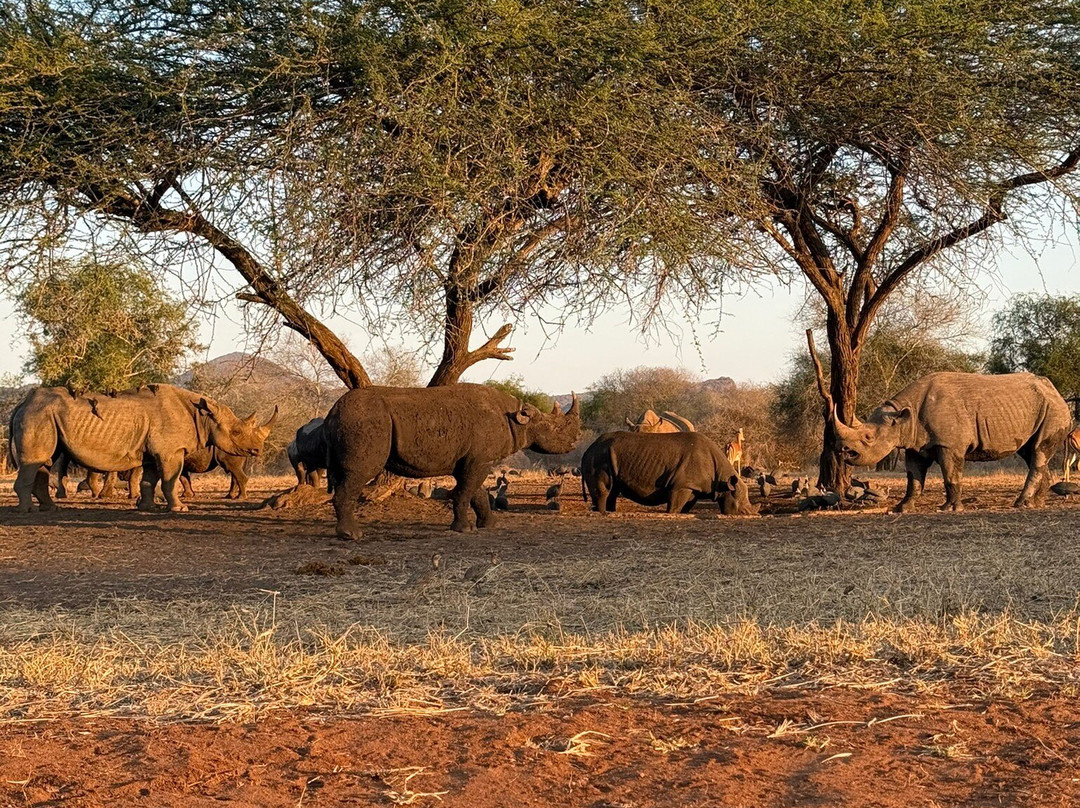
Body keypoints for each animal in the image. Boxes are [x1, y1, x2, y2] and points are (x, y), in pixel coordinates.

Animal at [9, 384, 266, 513]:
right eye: (237, 432)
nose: (257, 450)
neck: (202, 416)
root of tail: (22, 403)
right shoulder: (171, 451)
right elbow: (170, 480)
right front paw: (180, 509)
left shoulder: (156, 453)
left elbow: (149, 480)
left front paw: (147, 507)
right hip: (39, 416)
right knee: (36, 460)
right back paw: (28, 511)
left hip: (43, 415)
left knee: (44, 461)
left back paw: (50, 509)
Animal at [325, 384, 581, 538]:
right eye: (554, 429)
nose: (577, 438)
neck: (517, 418)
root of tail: (332, 412)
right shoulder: (479, 460)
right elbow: (465, 492)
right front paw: (464, 529)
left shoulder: (473, 460)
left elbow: (476, 493)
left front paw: (489, 525)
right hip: (365, 422)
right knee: (360, 473)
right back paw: (352, 536)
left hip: (354, 421)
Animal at [580, 431, 757, 515]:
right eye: (741, 509)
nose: (750, 515)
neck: (723, 478)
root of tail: (588, 449)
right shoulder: (681, 486)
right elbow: (674, 507)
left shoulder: (692, 488)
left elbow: (684, 508)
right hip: (599, 457)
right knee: (604, 492)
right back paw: (603, 513)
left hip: (605, 456)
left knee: (613, 491)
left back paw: (609, 511)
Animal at [831, 372, 1071, 512]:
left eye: (868, 438)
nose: (842, 450)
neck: (903, 416)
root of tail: (1057, 392)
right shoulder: (914, 445)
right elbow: (913, 478)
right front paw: (902, 508)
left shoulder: (949, 445)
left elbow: (950, 475)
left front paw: (949, 508)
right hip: (1037, 409)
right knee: (1031, 452)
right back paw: (1036, 504)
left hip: (1053, 410)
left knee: (1038, 452)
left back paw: (1020, 504)